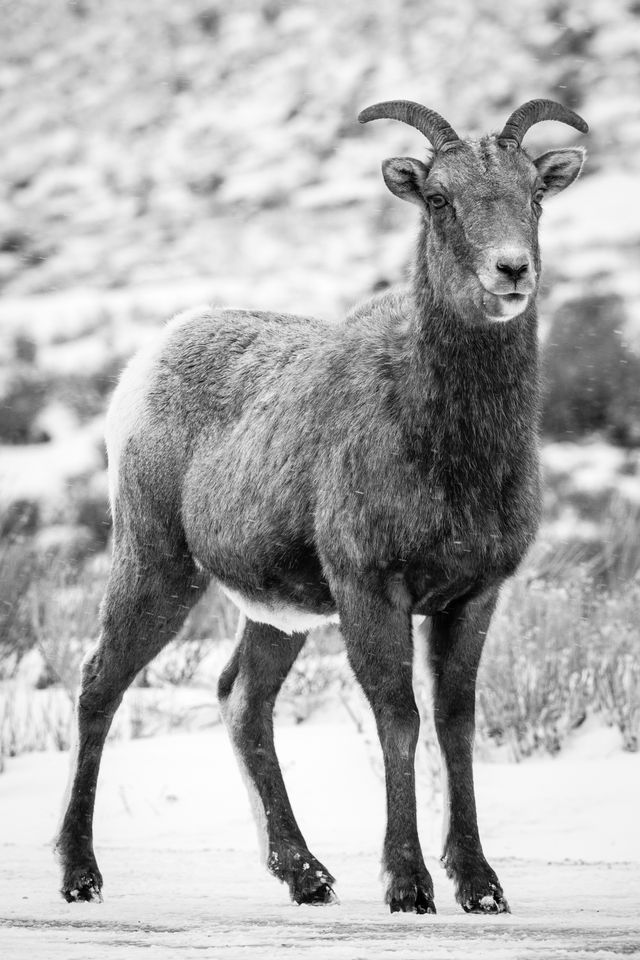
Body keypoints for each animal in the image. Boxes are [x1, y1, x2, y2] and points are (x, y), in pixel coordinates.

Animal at [57, 97, 588, 916]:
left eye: (535, 192)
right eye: (439, 199)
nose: (511, 270)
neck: (453, 451)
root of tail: (147, 361)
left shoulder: (472, 596)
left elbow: (455, 724)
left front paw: (479, 886)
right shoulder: (369, 586)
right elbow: (399, 719)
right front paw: (408, 884)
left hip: (278, 614)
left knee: (242, 700)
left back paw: (306, 875)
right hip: (157, 566)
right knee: (99, 685)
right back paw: (80, 875)